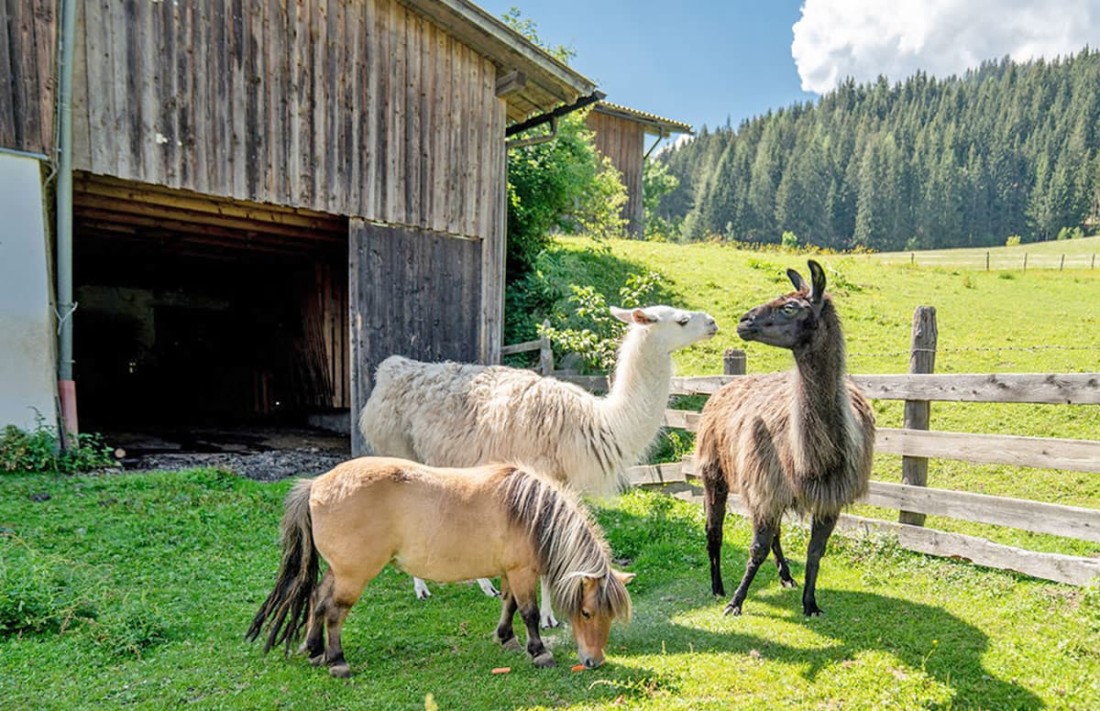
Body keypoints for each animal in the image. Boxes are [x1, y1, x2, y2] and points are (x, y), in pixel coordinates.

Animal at [246, 456, 634, 677]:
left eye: (609, 616)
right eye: (586, 613)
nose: (595, 661)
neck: (529, 511)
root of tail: (315, 484)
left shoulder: (509, 571)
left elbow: (508, 604)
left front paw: (506, 638)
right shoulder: (522, 572)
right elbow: (529, 612)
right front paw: (539, 653)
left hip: (339, 571)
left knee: (316, 599)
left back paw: (313, 650)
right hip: (353, 575)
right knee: (334, 610)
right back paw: (337, 661)